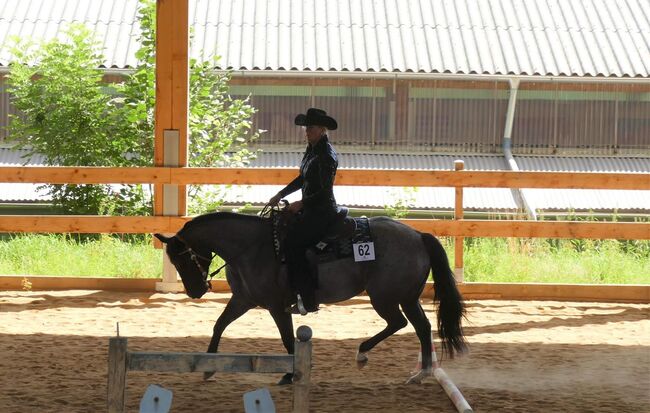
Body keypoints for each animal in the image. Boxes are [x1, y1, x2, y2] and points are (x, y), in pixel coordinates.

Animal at [154, 211, 464, 384]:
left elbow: (287, 339)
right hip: (407, 297)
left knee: (400, 323)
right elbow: (219, 325)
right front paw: (208, 369)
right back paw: (420, 374)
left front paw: (292, 374)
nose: (195, 291)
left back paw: (363, 353)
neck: (252, 247)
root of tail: (418, 235)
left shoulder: (276, 306)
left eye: (182, 259)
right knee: (422, 327)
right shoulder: (243, 299)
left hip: (385, 297)